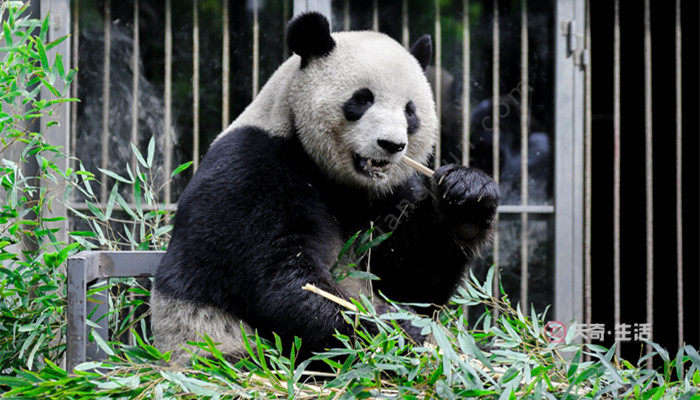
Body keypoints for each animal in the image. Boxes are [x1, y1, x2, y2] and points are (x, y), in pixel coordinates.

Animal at [151, 12, 500, 362]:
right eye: (362, 99)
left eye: (410, 111)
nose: (391, 145)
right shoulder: (251, 169)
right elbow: (280, 277)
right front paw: (390, 331)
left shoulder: (391, 195)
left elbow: (409, 279)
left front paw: (467, 196)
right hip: (214, 344)